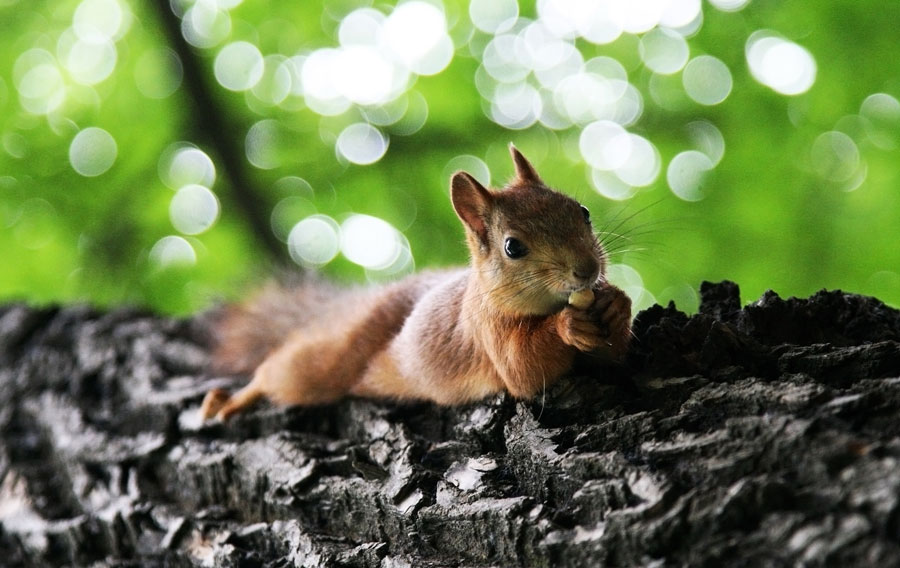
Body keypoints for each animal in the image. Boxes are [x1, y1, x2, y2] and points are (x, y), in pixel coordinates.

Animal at [200, 145, 628, 422]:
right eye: (513, 247)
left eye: (582, 211)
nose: (587, 269)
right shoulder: (485, 330)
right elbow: (524, 369)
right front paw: (566, 325)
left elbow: (610, 356)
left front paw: (616, 304)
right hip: (324, 367)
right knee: (277, 372)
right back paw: (232, 400)